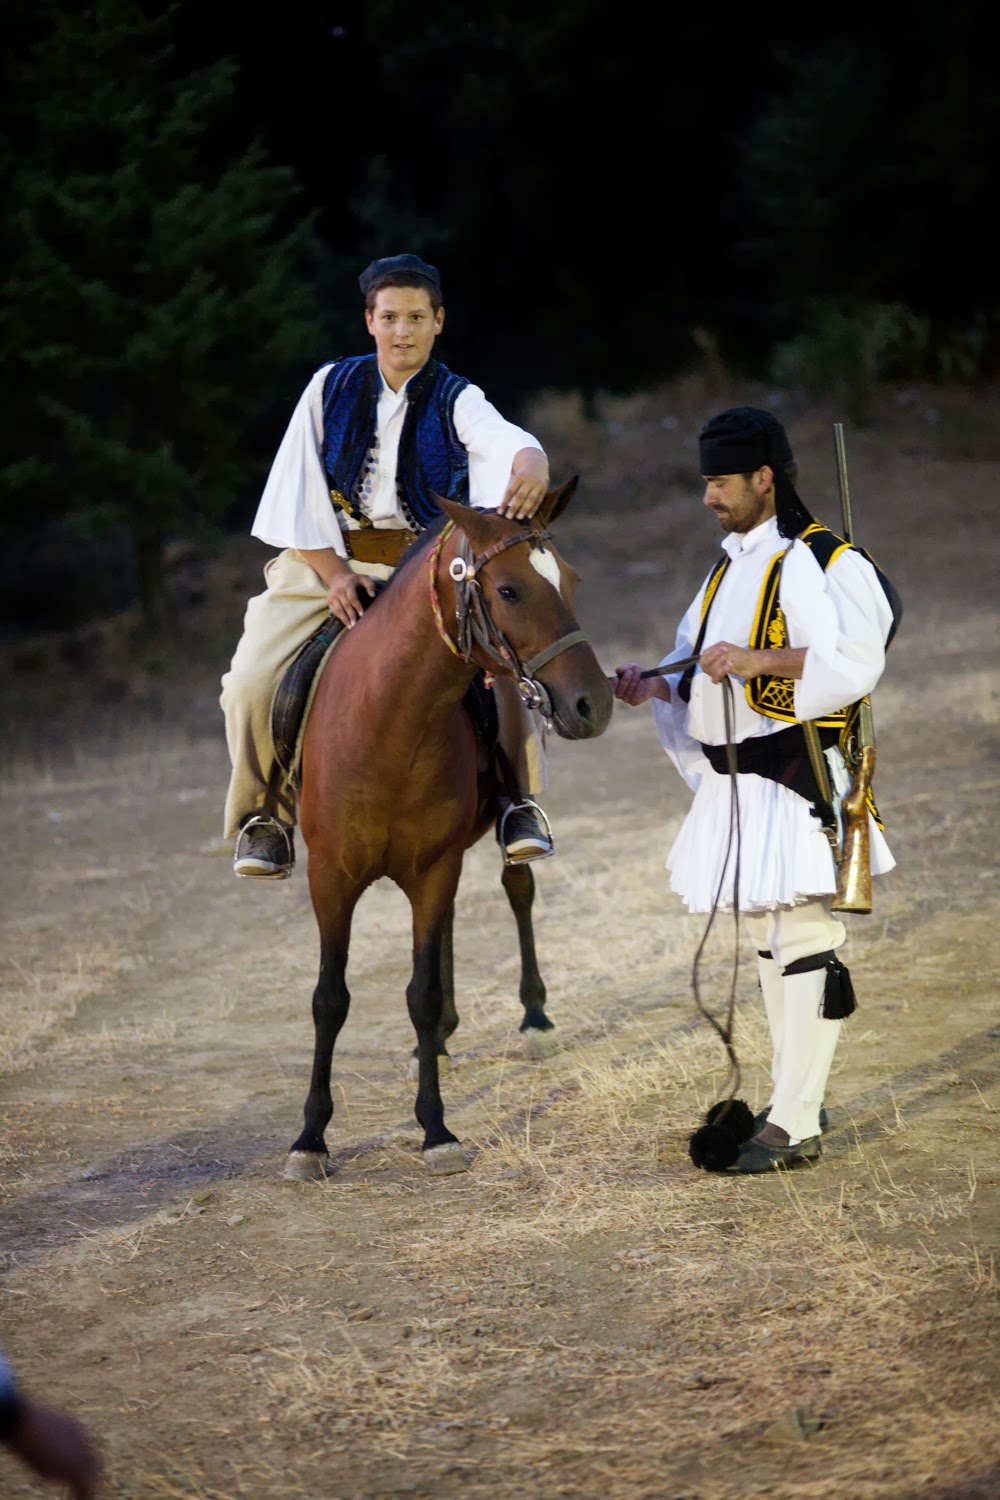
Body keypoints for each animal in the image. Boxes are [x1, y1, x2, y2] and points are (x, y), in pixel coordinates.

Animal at [285, 478, 614, 1180]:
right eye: (510, 590)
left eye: (570, 580)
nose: (593, 704)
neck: (388, 722)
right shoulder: (331, 877)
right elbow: (330, 999)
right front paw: (311, 1138)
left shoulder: (434, 867)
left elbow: (423, 994)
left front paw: (435, 1128)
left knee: (517, 893)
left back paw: (533, 1019)